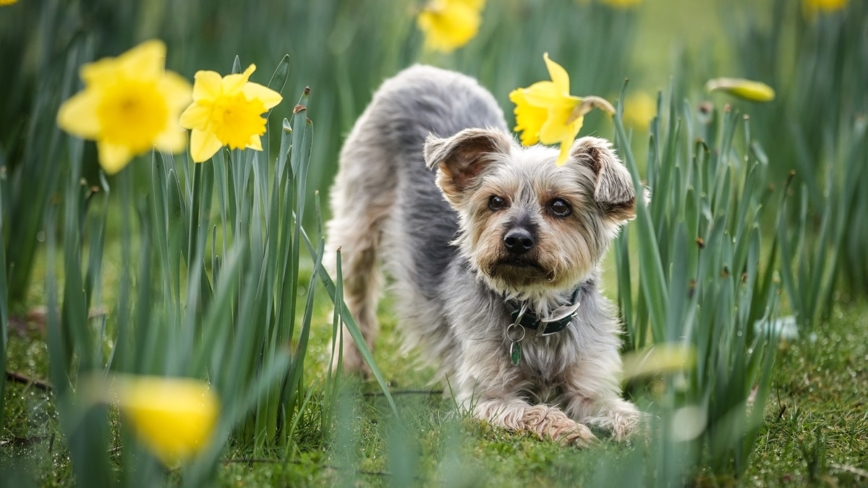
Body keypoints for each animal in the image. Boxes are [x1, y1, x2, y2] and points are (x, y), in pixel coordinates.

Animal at [328, 66, 640, 446]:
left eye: (560, 206)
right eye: (495, 201)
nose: (517, 240)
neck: (534, 309)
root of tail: (422, 71)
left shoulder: (590, 383)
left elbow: (619, 410)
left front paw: (645, 433)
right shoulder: (485, 396)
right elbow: (533, 411)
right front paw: (570, 429)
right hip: (357, 223)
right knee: (353, 293)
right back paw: (350, 364)